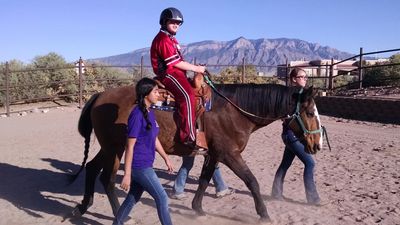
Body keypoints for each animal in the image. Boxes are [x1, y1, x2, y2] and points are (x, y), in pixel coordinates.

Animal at [68, 79, 322, 221]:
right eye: (310, 113)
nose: (317, 145)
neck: (233, 111)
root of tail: (100, 95)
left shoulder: (215, 154)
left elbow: (203, 180)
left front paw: (197, 208)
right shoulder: (230, 154)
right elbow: (252, 181)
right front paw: (264, 214)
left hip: (110, 147)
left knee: (92, 168)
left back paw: (84, 205)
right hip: (115, 148)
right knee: (107, 178)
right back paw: (117, 212)